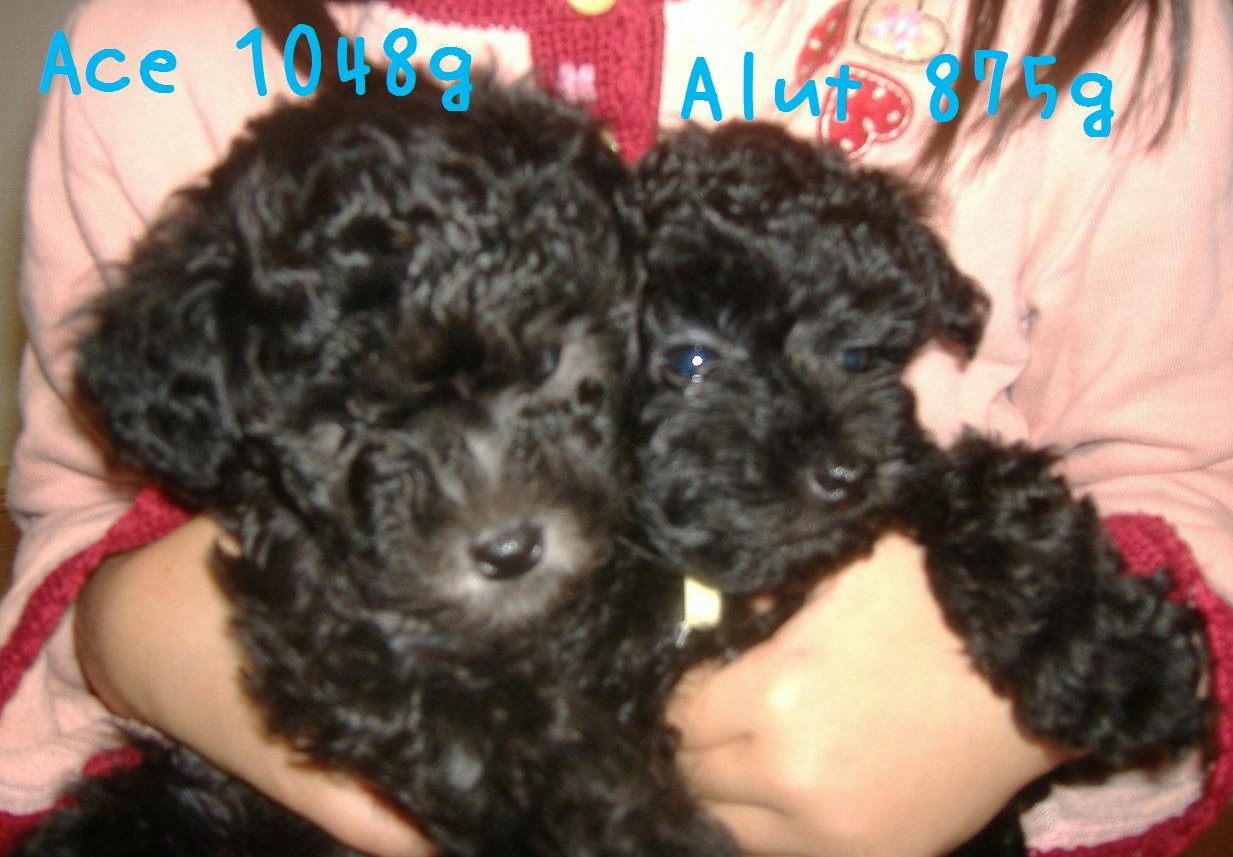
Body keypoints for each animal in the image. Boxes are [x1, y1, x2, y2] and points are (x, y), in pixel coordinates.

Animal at [625, 122, 1211, 855]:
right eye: (688, 361)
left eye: (857, 354)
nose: (844, 472)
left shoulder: (915, 465)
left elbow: (1001, 503)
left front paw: (1119, 657)